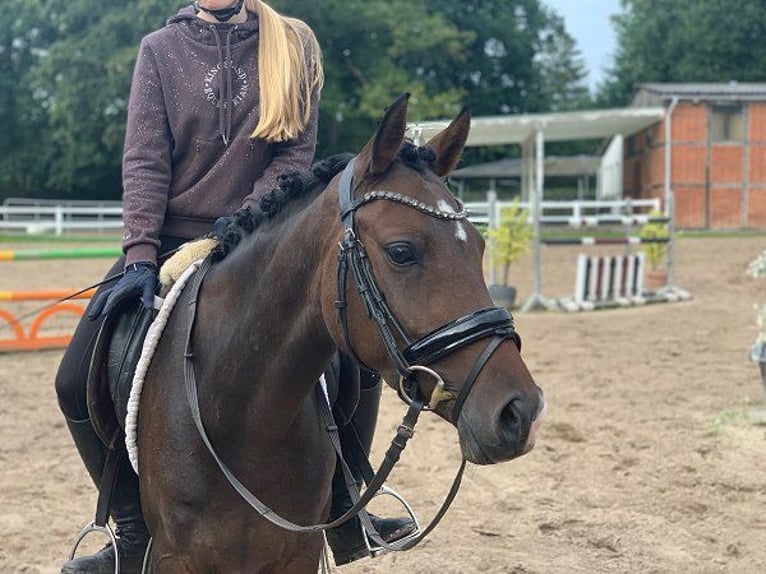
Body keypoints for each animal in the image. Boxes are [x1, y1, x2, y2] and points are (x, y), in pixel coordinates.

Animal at [136, 92, 544, 572]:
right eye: (401, 252)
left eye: (479, 247)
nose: (520, 412)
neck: (237, 416)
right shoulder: (173, 556)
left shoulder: (298, 552)